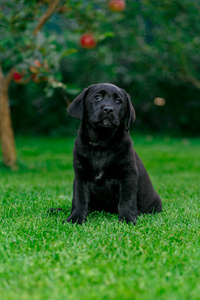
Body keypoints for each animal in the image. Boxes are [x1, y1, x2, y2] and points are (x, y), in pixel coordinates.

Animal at [49, 83, 162, 224]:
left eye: (119, 101)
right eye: (97, 97)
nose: (108, 109)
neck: (101, 145)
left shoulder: (128, 175)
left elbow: (127, 201)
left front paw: (127, 220)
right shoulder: (80, 176)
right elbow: (79, 200)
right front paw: (75, 219)